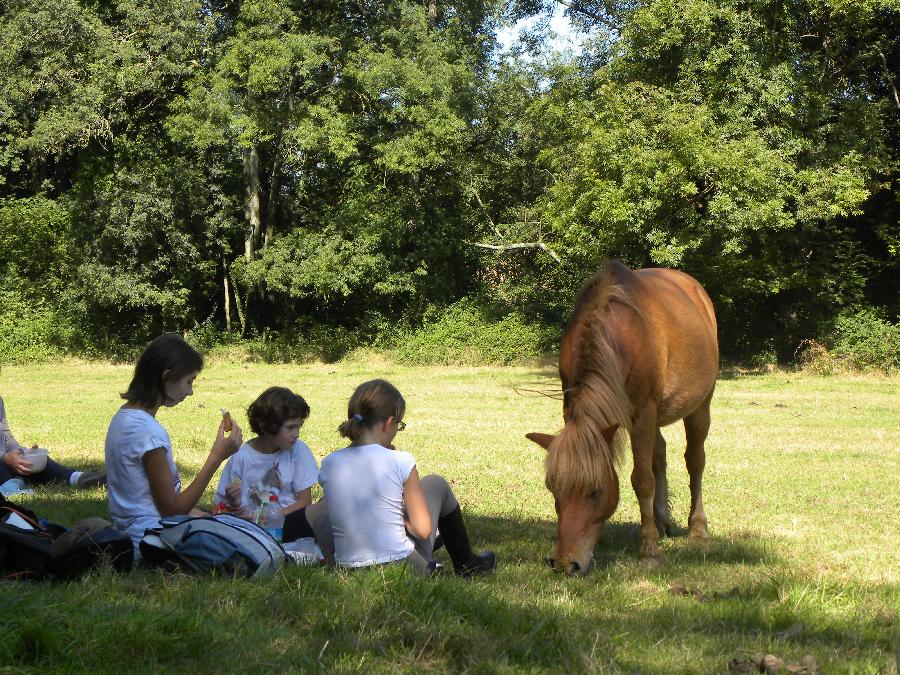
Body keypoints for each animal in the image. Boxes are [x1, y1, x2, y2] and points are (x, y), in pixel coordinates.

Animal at [528, 262, 716, 572]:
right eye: (553, 489)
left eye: (595, 491)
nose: (566, 564)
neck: (621, 334)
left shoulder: (643, 414)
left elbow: (642, 480)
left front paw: (650, 550)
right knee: (660, 454)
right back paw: (661, 521)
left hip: (700, 405)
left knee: (695, 461)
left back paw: (698, 529)